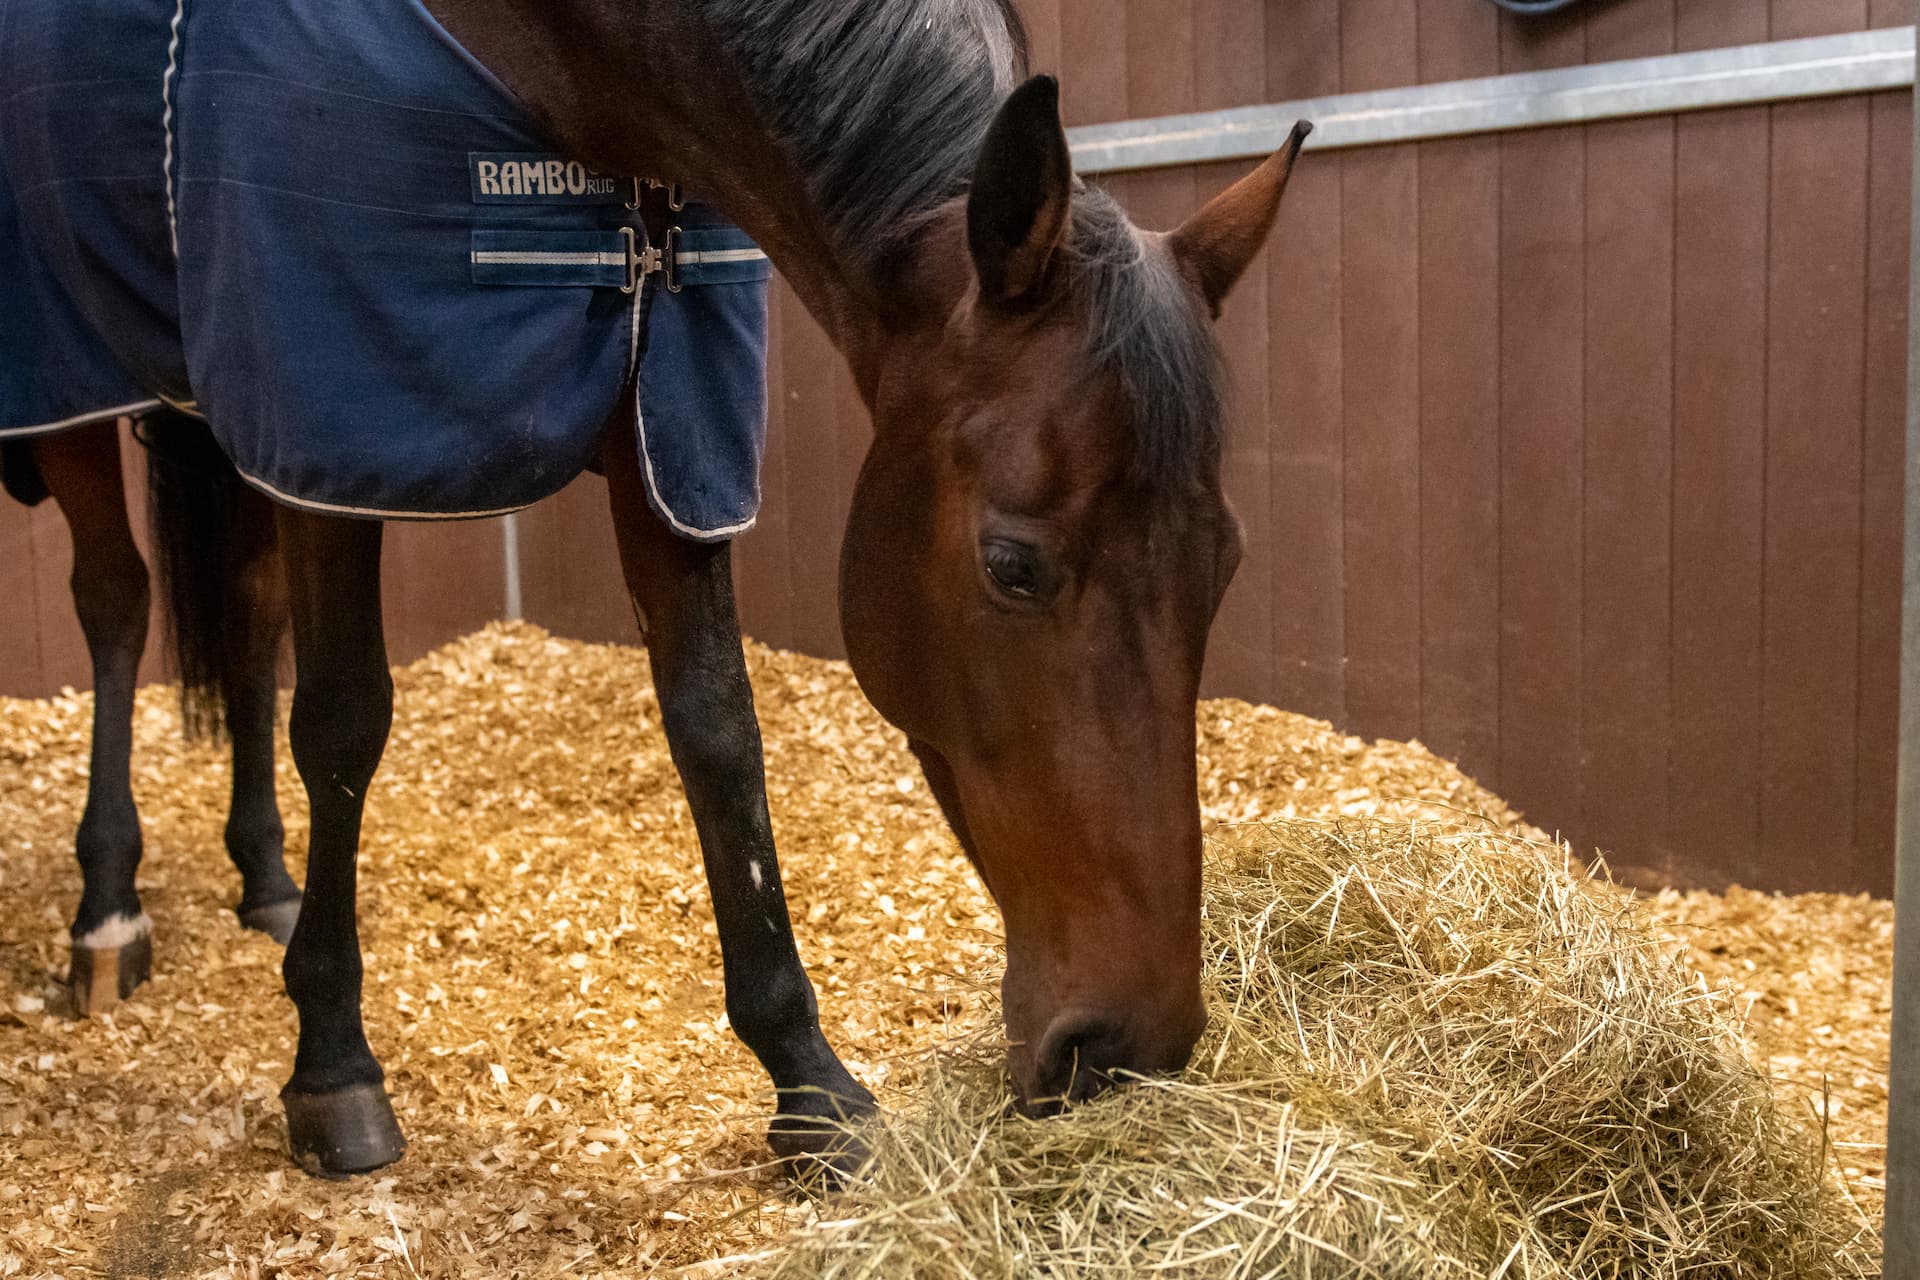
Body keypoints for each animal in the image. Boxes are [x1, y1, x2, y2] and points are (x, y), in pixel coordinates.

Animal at [2, 0, 1307, 1178]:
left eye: (1229, 562)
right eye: (1014, 565)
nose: (1131, 1044)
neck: (564, 60)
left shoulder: (666, 416)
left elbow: (717, 733)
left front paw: (809, 1083)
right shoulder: (343, 415)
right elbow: (343, 724)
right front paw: (332, 1064)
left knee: (245, 610)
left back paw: (264, 877)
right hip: (80, 387)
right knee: (116, 598)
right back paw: (107, 911)